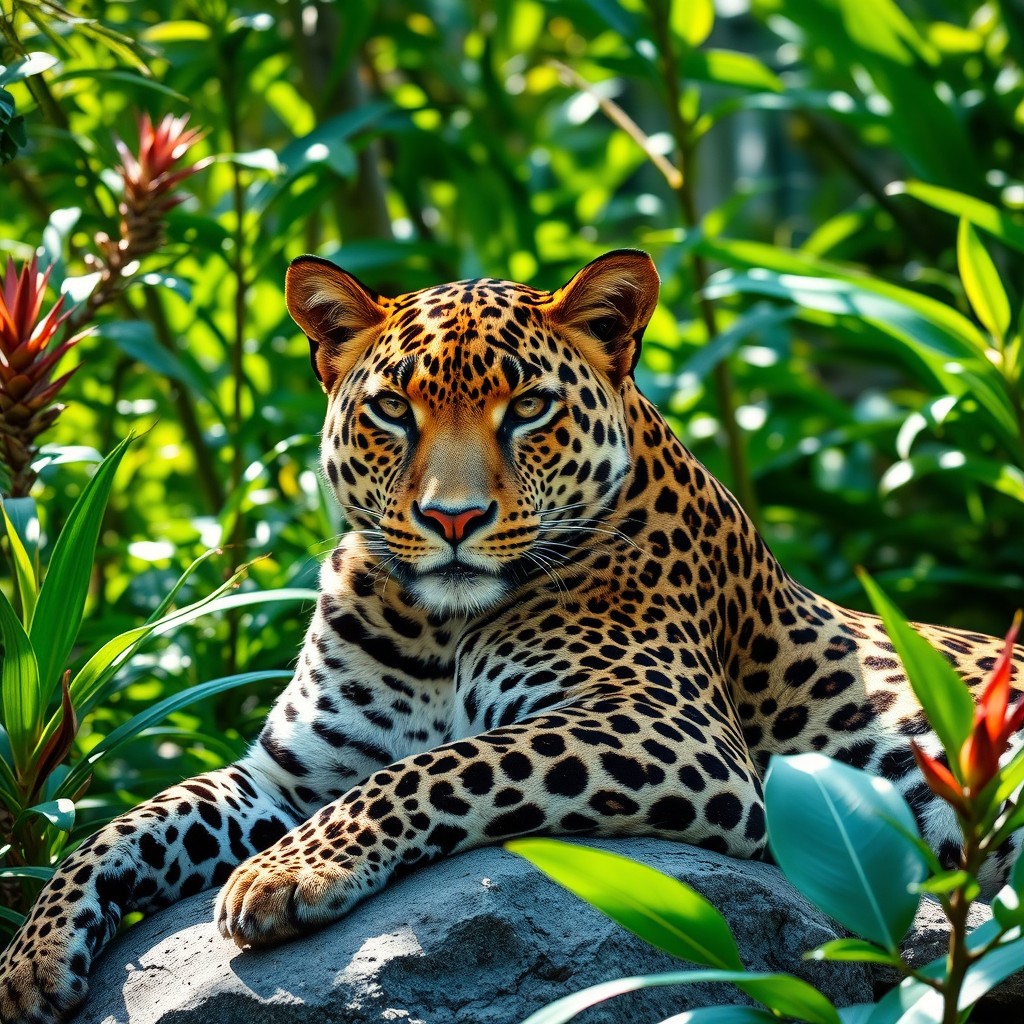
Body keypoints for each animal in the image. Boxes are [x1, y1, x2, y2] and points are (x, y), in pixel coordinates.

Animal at [2, 249, 1021, 1023]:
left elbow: (441, 766)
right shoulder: (290, 776)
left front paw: (285, 874)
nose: (453, 519)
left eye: (528, 408)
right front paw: (29, 961)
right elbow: (124, 826)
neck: (428, 627)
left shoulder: (669, 731)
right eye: (393, 409)